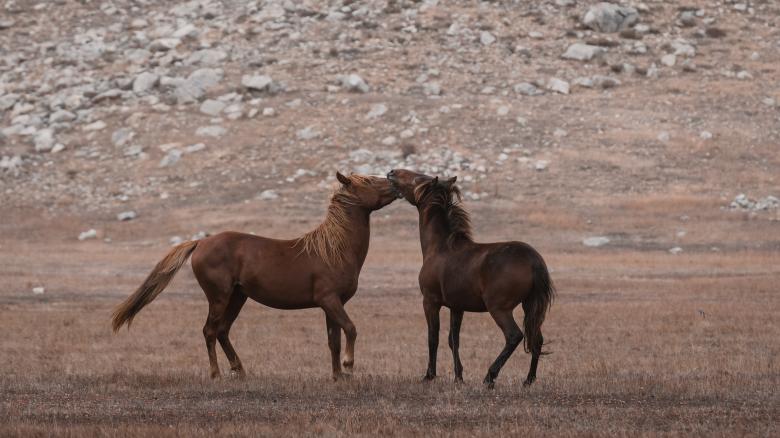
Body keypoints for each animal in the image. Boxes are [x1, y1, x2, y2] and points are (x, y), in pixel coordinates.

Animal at [112, 172, 399, 380]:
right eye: (369, 181)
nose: (394, 181)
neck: (334, 249)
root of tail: (200, 242)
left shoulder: (332, 304)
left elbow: (334, 340)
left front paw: (339, 376)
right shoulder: (329, 300)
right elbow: (350, 329)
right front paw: (349, 366)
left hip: (238, 297)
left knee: (222, 330)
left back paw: (239, 370)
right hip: (219, 297)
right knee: (209, 331)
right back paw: (216, 375)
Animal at [387, 169, 555, 388]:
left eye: (417, 178)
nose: (391, 173)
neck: (440, 247)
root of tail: (533, 260)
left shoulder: (430, 302)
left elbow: (433, 338)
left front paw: (429, 376)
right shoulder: (457, 307)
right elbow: (453, 340)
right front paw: (459, 377)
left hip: (499, 309)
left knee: (514, 336)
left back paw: (490, 376)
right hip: (530, 306)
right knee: (537, 338)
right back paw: (528, 380)